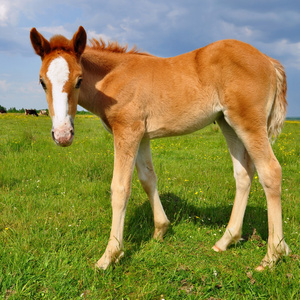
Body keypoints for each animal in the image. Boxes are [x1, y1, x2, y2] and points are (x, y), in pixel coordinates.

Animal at [29, 26, 290, 270]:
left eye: (79, 80)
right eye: (42, 82)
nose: (63, 135)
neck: (115, 78)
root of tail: (269, 60)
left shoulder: (127, 131)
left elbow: (120, 188)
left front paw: (110, 255)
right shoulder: (142, 136)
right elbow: (148, 179)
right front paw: (160, 230)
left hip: (247, 123)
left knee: (270, 171)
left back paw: (273, 255)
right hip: (227, 123)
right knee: (243, 174)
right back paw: (226, 240)